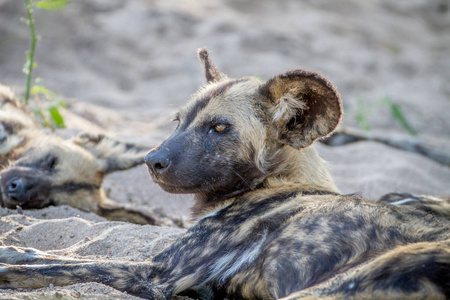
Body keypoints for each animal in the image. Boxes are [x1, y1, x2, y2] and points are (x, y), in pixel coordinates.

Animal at [0, 48, 450, 298]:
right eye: (178, 121)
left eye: (219, 128)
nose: (152, 159)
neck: (279, 182)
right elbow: (46, 254)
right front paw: (12, 247)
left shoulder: (158, 273)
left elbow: (56, 266)